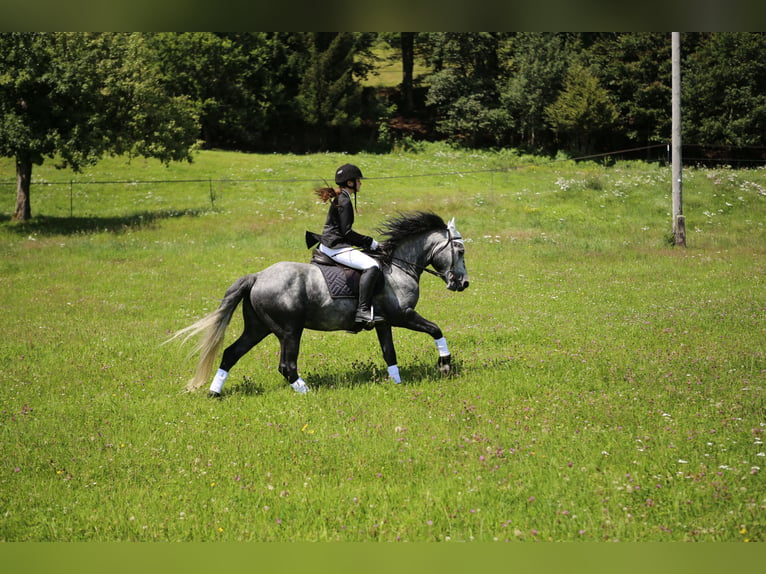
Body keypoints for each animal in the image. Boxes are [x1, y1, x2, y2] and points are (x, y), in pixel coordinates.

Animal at [171, 212, 472, 396]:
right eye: (460, 250)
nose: (463, 283)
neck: (398, 267)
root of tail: (257, 276)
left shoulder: (383, 323)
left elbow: (390, 354)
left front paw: (396, 383)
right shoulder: (403, 315)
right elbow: (436, 329)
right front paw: (445, 365)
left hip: (258, 328)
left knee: (231, 353)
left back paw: (214, 393)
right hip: (290, 331)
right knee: (287, 366)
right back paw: (308, 393)